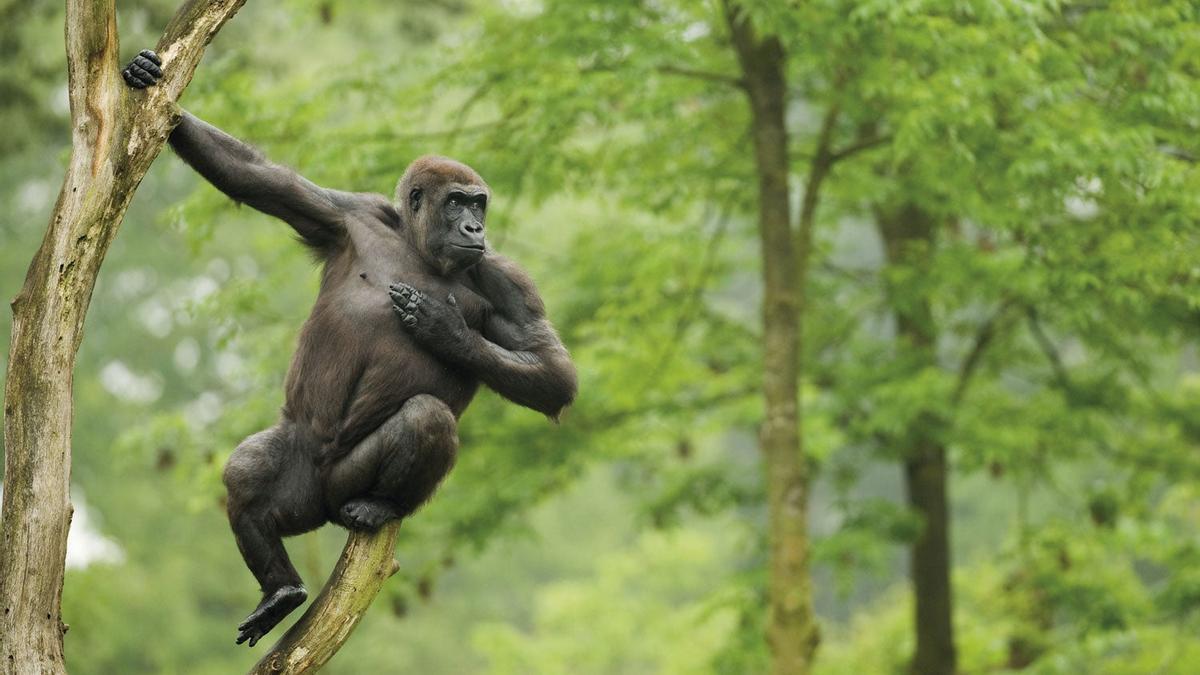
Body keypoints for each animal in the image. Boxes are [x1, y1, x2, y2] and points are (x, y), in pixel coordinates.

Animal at [121, 51, 576, 638]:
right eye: (457, 203)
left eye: (479, 205)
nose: (475, 228)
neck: (417, 247)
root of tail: (321, 505)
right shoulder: (348, 213)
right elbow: (258, 178)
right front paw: (152, 85)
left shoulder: (507, 279)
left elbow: (552, 372)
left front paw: (445, 330)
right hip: (298, 476)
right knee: (249, 470)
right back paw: (280, 588)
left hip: (341, 487)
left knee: (425, 418)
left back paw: (377, 508)